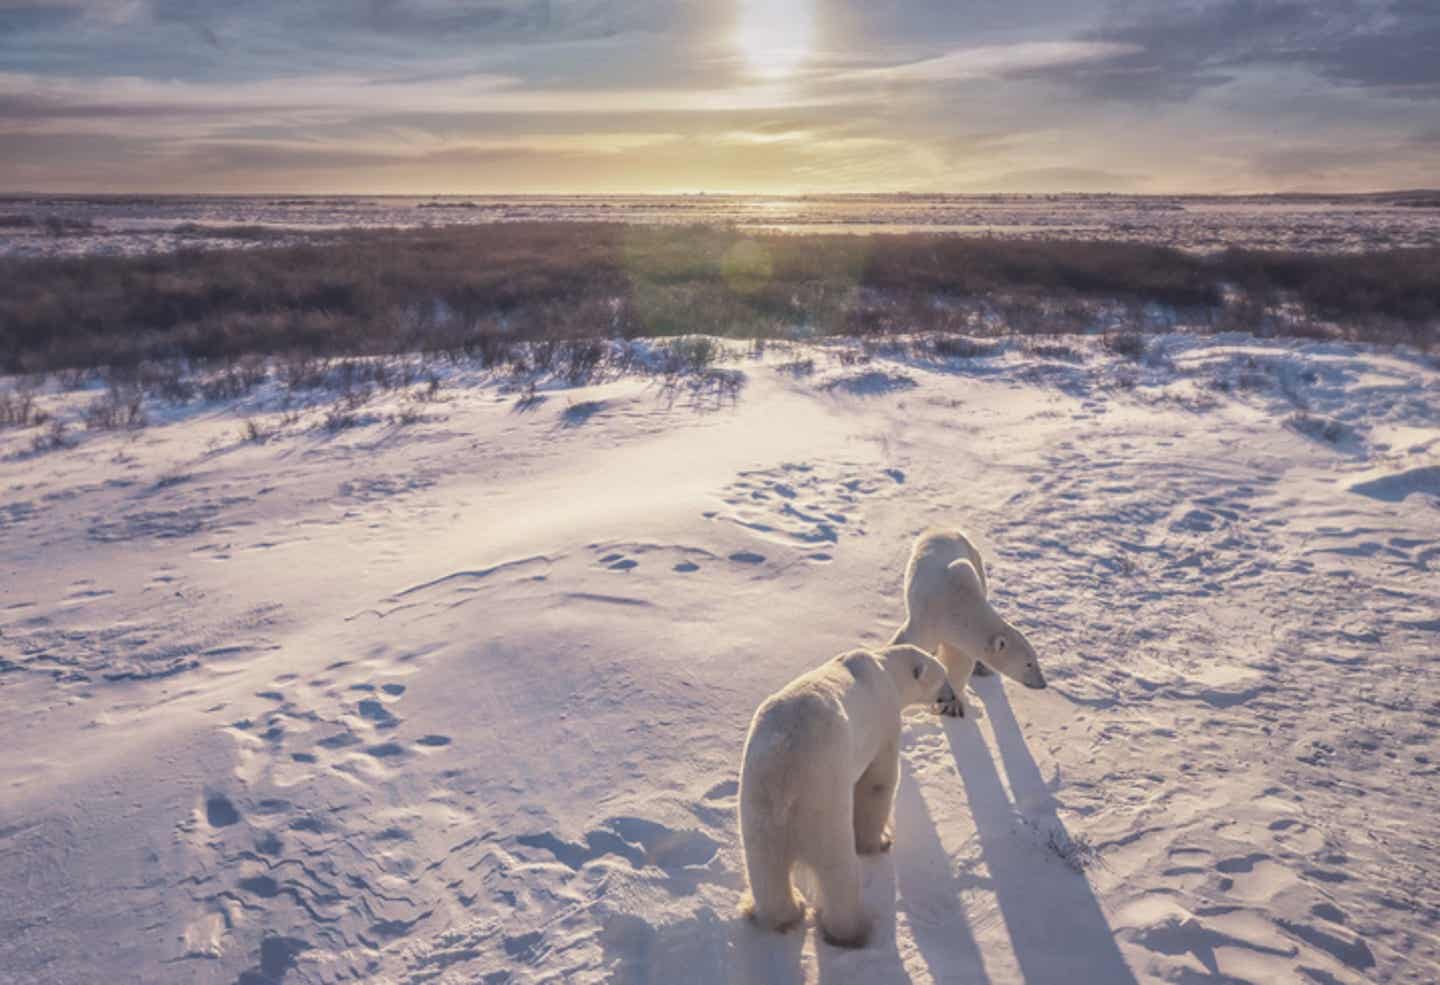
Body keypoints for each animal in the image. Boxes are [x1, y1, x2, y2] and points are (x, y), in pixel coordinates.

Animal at [737, 642, 950, 950]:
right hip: (822, 799)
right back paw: (851, 929)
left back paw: (785, 913)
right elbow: (878, 781)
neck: (885, 668)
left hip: (757, 802)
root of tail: (785, 773)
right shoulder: (884, 721)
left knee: (765, 865)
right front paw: (879, 841)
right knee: (837, 869)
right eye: (942, 676)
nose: (951, 697)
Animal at [887, 529, 1048, 714]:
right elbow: (908, 643)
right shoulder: (928, 620)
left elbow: (959, 663)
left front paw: (951, 704)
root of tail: (944, 529)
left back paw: (982, 668)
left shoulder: (958, 637)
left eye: (1035, 659)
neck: (958, 606)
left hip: (976, 561)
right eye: (1028, 664)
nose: (1043, 683)